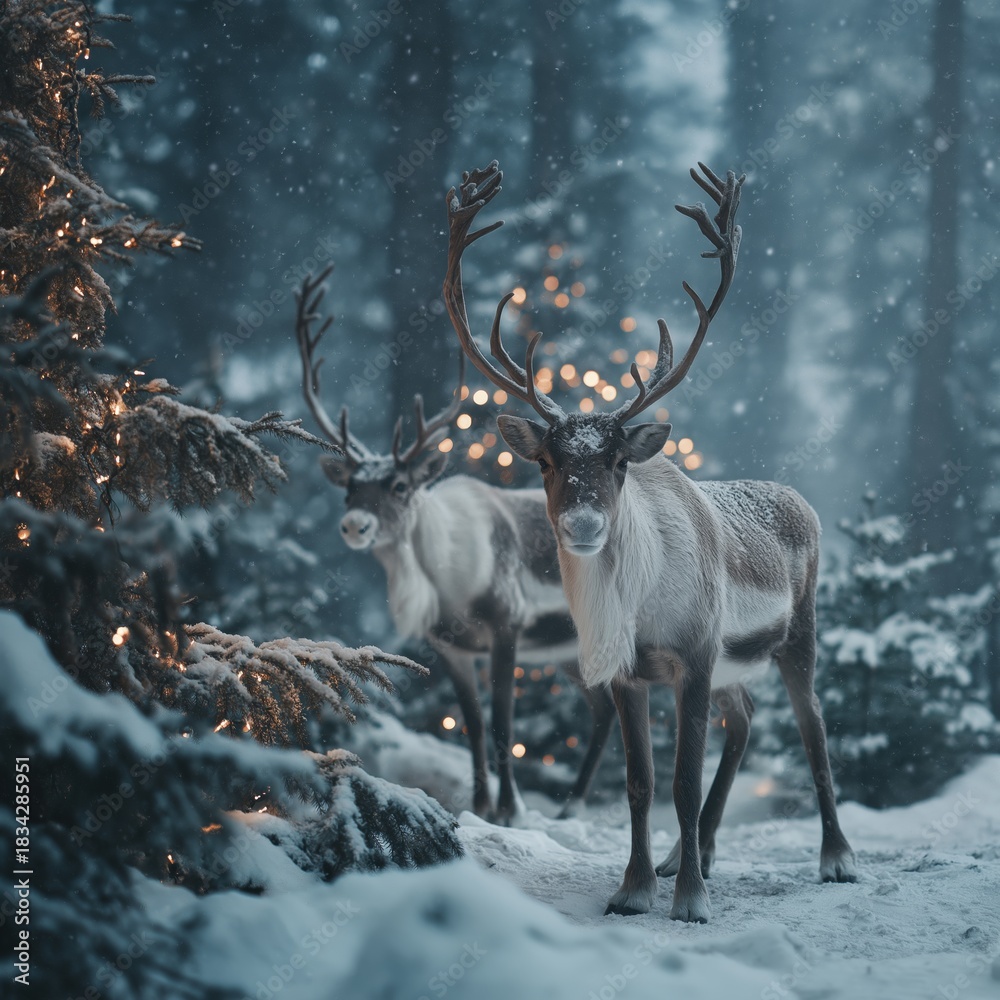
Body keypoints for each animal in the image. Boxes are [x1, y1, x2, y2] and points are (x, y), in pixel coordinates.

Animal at [293, 267, 616, 824]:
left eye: (400, 486)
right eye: (349, 488)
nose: (355, 525)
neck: (451, 585)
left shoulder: (508, 623)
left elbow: (504, 721)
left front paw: (510, 811)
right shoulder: (448, 645)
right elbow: (473, 726)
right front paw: (482, 807)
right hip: (568, 653)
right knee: (605, 709)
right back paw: (569, 806)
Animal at [443, 160, 857, 921]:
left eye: (617, 461)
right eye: (545, 463)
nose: (582, 525)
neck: (635, 612)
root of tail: (800, 499)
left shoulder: (693, 656)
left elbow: (682, 782)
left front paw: (691, 900)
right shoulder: (630, 674)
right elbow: (640, 783)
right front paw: (634, 888)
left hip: (799, 633)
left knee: (813, 727)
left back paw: (835, 858)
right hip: (734, 662)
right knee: (745, 719)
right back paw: (689, 855)